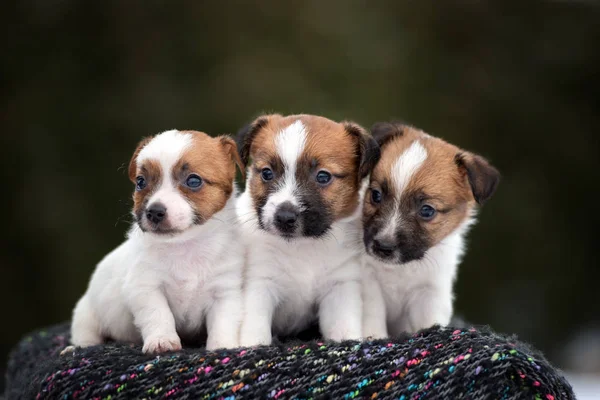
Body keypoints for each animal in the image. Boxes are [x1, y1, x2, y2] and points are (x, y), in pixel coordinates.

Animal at [71, 130, 245, 352]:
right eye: (141, 182)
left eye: (193, 181)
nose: (154, 212)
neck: (185, 246)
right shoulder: (146, 287)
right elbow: (158, 315)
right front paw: (162, 341)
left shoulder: (224, 292)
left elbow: (223, 323)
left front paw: (222, 346)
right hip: (86, 316)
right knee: (86, 336)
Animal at [236, 114, 380, 346]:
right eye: (267, 173)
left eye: (323, 177)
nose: (284, 217)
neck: (303, 247)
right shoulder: (259, 284)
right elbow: (255, 332)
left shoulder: (340, 290)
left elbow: (345, 330)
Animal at [360, 122, 502, 338]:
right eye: (376, 195)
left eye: (427, 210)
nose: (383, 247)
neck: (401, 270)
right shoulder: (369, 286)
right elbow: (372, 324)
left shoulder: (430, 295)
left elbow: (428, 324)